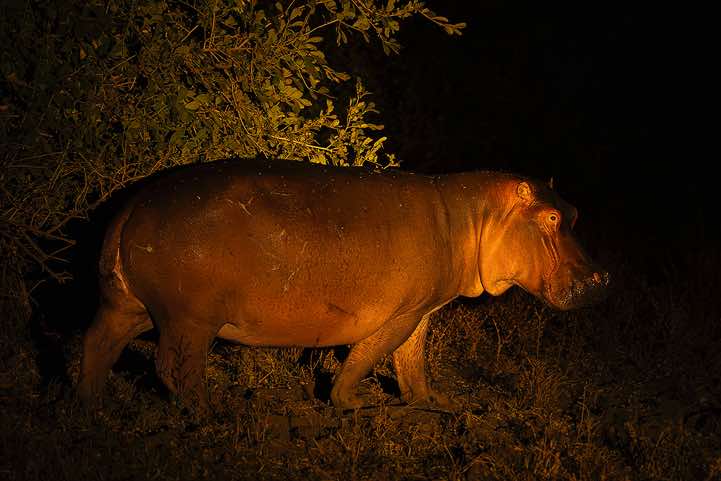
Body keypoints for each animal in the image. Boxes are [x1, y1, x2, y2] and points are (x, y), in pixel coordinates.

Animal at [77, 158, 608, 412]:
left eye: (575, 212)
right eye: (553, 216)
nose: (600, 279)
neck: (473, 215)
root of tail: (132, 205)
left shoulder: (422, 309)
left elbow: (412, 360)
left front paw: (434, 403)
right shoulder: (400, 313)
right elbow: (369, 354)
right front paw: (353, 403)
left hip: (126, 305)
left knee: (96, 345)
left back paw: (91, 407)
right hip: (190, 319)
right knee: (174, 369)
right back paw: (212, 415)